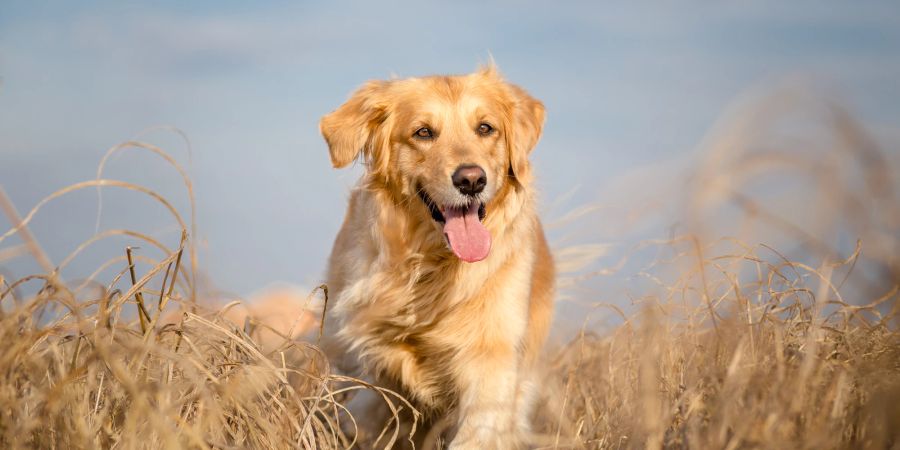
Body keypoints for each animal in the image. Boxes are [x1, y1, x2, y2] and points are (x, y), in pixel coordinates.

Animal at [316, 64, 556, 450]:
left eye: (485, 128)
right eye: (424, 132)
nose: (471, 180)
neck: (431, 267)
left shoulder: (493, 361)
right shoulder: (369, 362)